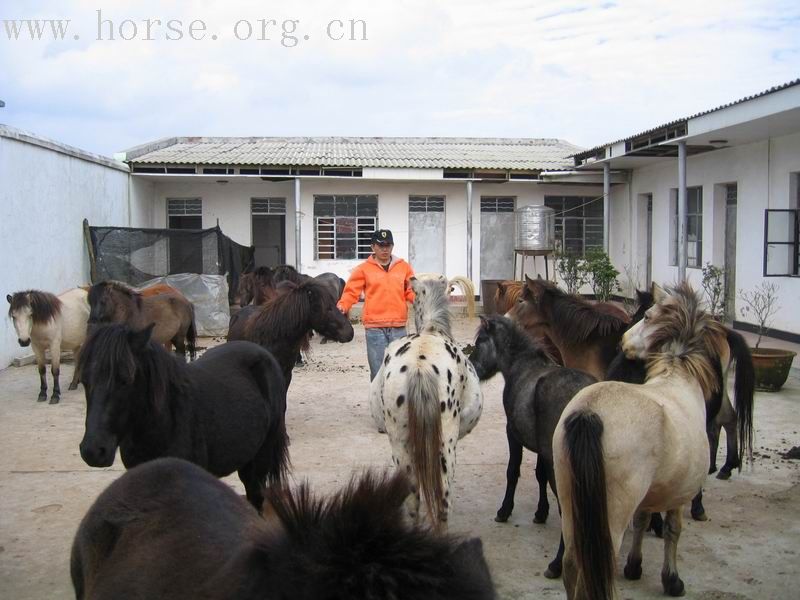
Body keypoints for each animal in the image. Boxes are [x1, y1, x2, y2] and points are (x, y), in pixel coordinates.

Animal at [76, 324, 290, 510]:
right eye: (84, 380)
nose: (92, 451)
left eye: (125, 380)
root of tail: (264, 354)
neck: (166, 423)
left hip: (262, 455)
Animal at [368, 276, 482, 528]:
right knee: (442, 502)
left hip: (401, 446)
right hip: (446, 446)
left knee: (413, 498)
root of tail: (420, 365)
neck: (432, 331)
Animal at [468, 316, 592, 580]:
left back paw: (556, 565)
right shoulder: (542, 451)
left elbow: (512, 472)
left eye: (481, 340)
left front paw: (504, 511)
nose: (472, 367)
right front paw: (540, 513)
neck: (522, 366)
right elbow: (539, 475)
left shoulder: (513, 434)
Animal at [552, 282, 728, 600]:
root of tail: (589, 413)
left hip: (571, 507)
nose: (621, 342)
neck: (677, 376)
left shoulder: (653, 492)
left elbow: (644, 519)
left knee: (572, 565)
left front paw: (635, 566)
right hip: (609, 519)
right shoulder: (677, 494)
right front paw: (672, 581)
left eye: (645, 316)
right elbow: (673, 529)